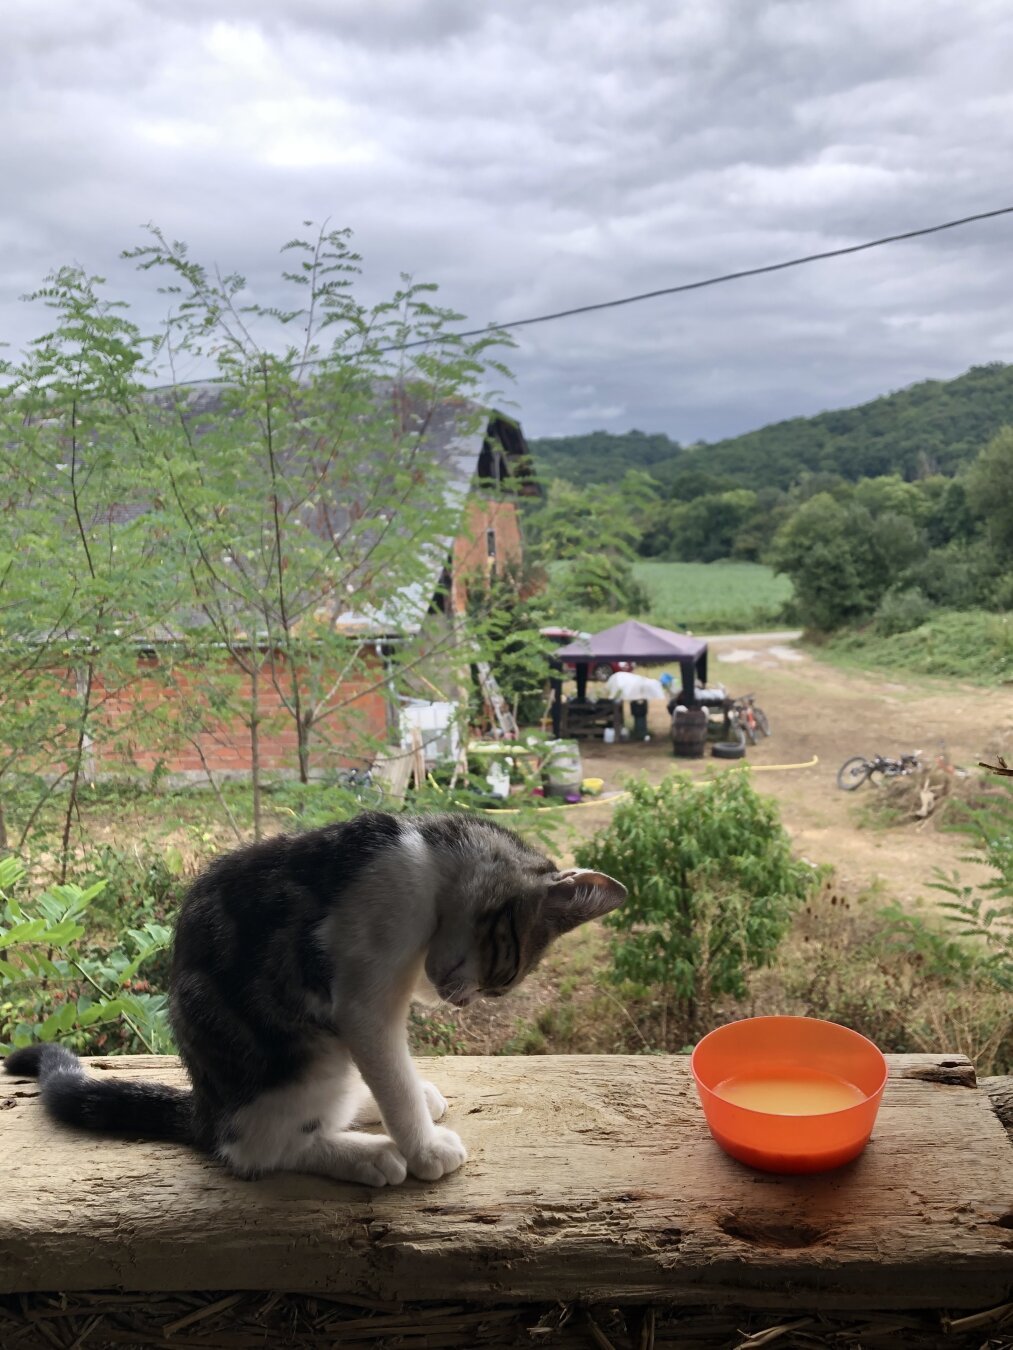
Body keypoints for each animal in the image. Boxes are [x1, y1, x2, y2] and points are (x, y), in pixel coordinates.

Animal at [5, 804, 626, 1188]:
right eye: (502, 972)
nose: (463, 1002)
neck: (426, 858)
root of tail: (207, 1111)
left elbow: (394, 1073)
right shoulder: (364, 1003)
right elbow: (392, 1075)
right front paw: (425, 1151)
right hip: (304, 1059)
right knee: (259, 1149)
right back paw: (370, 1156)